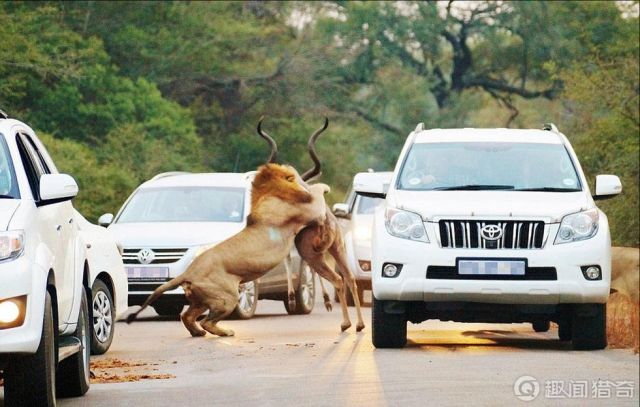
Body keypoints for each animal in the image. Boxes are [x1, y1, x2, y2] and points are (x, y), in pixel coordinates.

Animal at [127, 159, 332, 338]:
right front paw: (323, 187)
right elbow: (317, 194)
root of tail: (188, 273)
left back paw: (198, 333)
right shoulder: (311, 211)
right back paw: (225, 332)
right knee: (206, 321)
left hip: (202, 300)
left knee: (187, 316)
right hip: (228, 296)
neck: (267, 194)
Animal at [256, 117, 364, 332]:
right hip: (336, 249)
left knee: (337, 279)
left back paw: (345, 323)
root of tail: (326, 222)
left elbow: (288, 260)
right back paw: (359, 325)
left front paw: (291, 300)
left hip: (314, 254)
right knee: (350, 278)